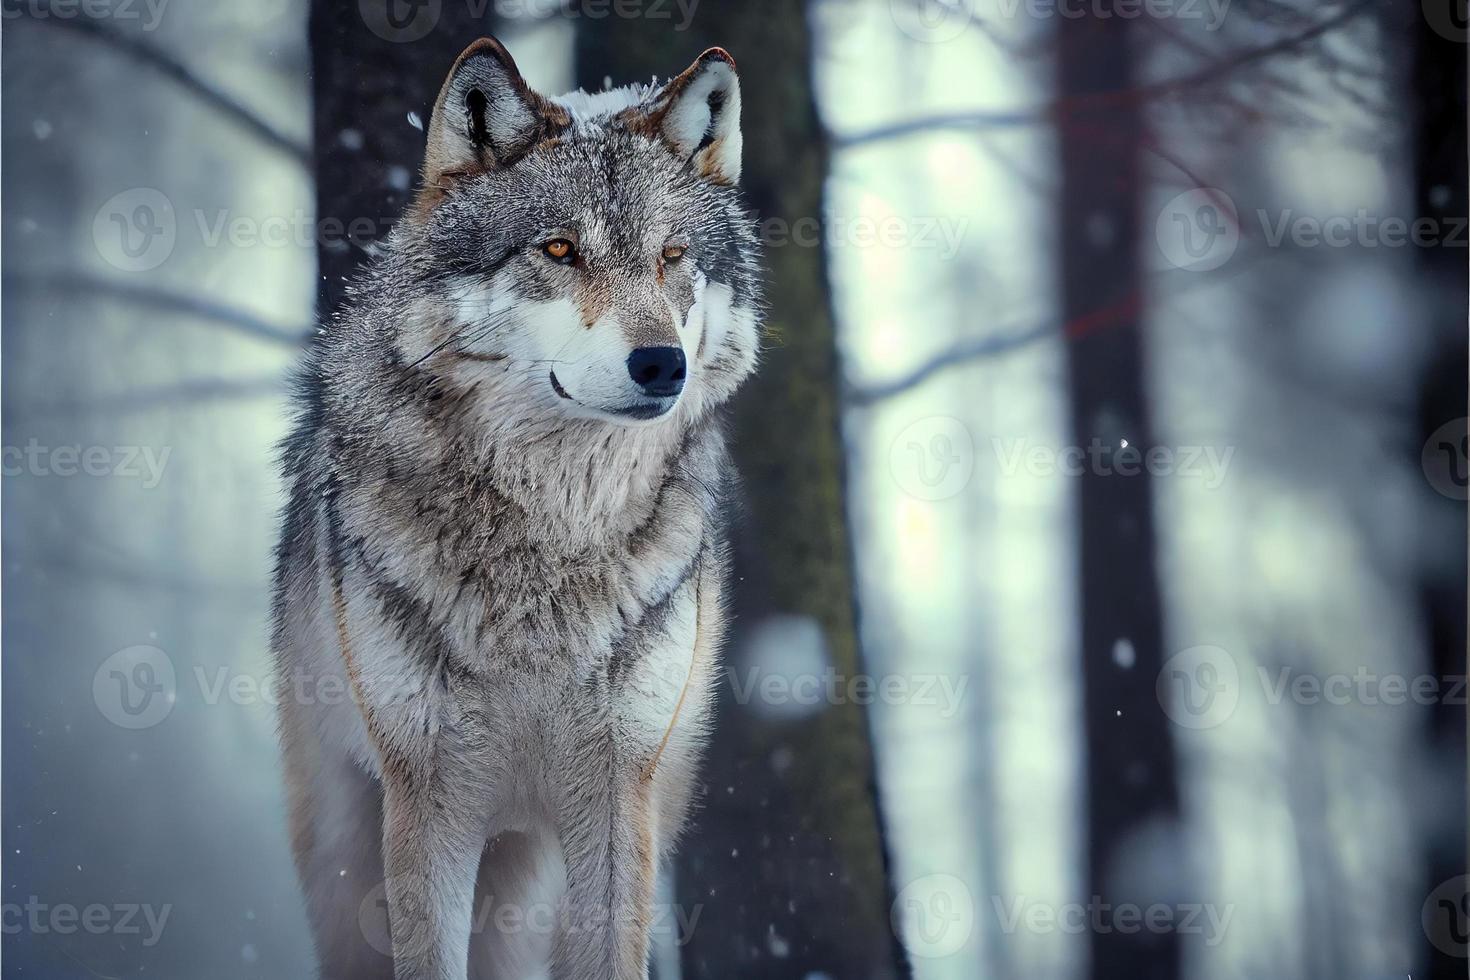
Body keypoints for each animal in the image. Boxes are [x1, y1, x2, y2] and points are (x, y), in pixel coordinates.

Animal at [269, 36, 764, 980]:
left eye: (673, 255)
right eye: (561, 249)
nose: (662, 365)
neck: (553, 537)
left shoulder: (619, 793)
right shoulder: (427, 801)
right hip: (348, 856)